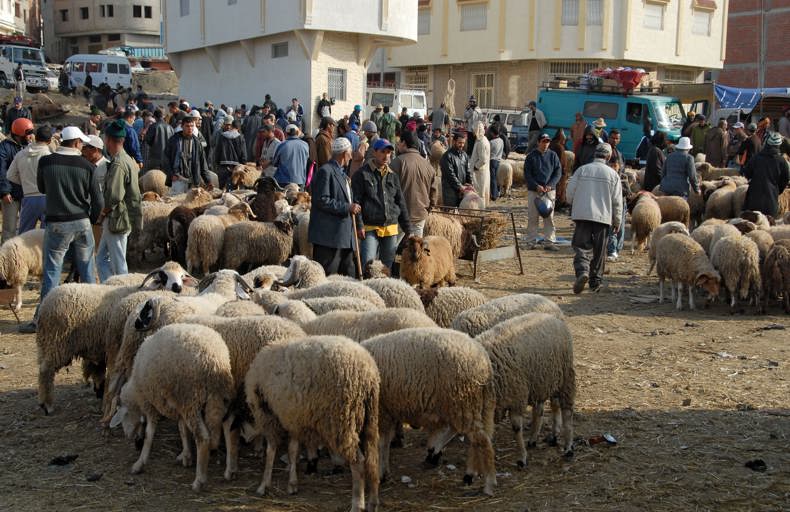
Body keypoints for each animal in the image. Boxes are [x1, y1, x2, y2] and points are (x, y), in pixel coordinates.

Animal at [111, 324, 235, 492]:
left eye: (123, 415)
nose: (128, 435)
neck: (136, 389)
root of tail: (214, 360)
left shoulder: (151, 403)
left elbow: (149, 433)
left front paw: (139, 463)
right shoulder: (178, 406)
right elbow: (183, 430)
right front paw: (186, 456)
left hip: (191, 398)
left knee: (203, 438)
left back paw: (199, 480)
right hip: (221, 394)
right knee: (228, 426)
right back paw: (230, 470)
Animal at [248, 336, 384, 512]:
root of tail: (368, 373)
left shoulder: (268, 415)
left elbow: (271, 451)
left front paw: (264, 485)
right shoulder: (293, 418)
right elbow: (293, 450)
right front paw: (292, 484)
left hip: (342, 420)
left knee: (358, 462)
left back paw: (357, 504)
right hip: (369, 418)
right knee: (372, 461)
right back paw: (373, 502)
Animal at [362, 328, 498, 496]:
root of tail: (485, 362)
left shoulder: (382, 411)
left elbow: (381, 443)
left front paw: (381, 473)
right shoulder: (388, 411)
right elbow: (385, 442)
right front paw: (384, 471)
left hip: (463, 402)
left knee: (481, 440)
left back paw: (489, 483)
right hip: (472, 405)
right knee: (476, 436)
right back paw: (467, 472)